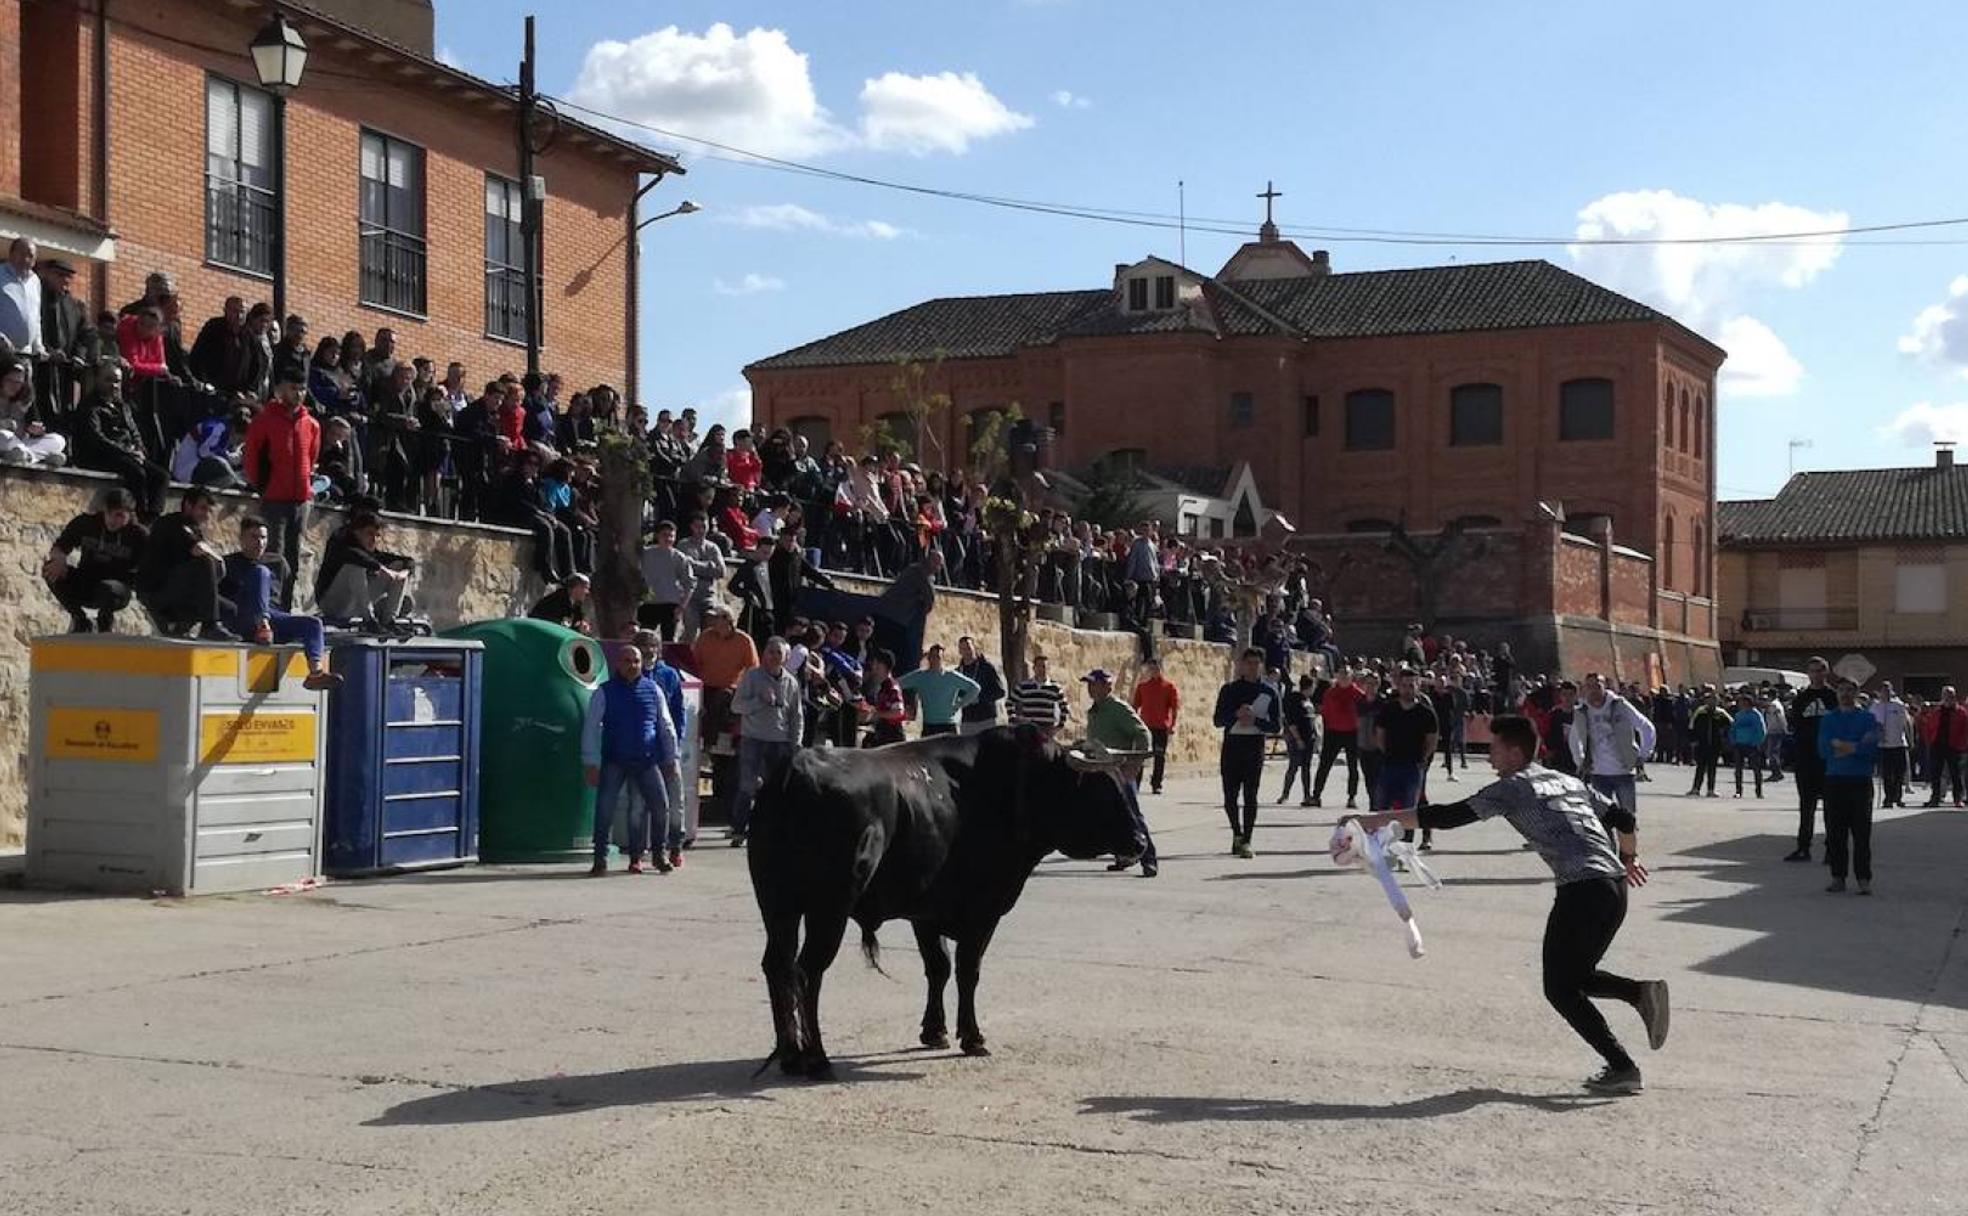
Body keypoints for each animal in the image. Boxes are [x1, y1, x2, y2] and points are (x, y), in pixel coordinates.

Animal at [743, 720, 1149, 1070]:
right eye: (1102, 791)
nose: (1140, 842)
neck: (1018, 785)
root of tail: (796, 769)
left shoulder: (926, 912)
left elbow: (938, 966)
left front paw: (934, 1030)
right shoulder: (984, 910)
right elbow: (968, 970)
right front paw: (972, 1036)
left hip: (776, 904)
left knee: (777, 964)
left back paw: (791, 1054)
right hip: (829, 907)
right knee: (808, 968)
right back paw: (815, 1057)